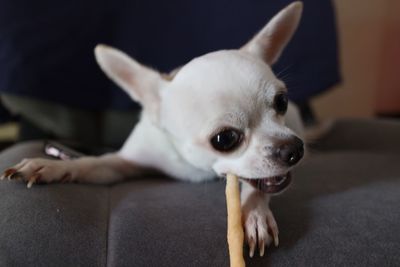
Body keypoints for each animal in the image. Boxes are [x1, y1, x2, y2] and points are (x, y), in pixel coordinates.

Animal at [3, 1, 304, 258]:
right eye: (225, 139)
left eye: (282, 101)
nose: (295, 149)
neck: (192, 165)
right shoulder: (124, 163)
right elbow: (92, 163)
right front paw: (52, 166)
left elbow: (258, 184)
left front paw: (254, 214)